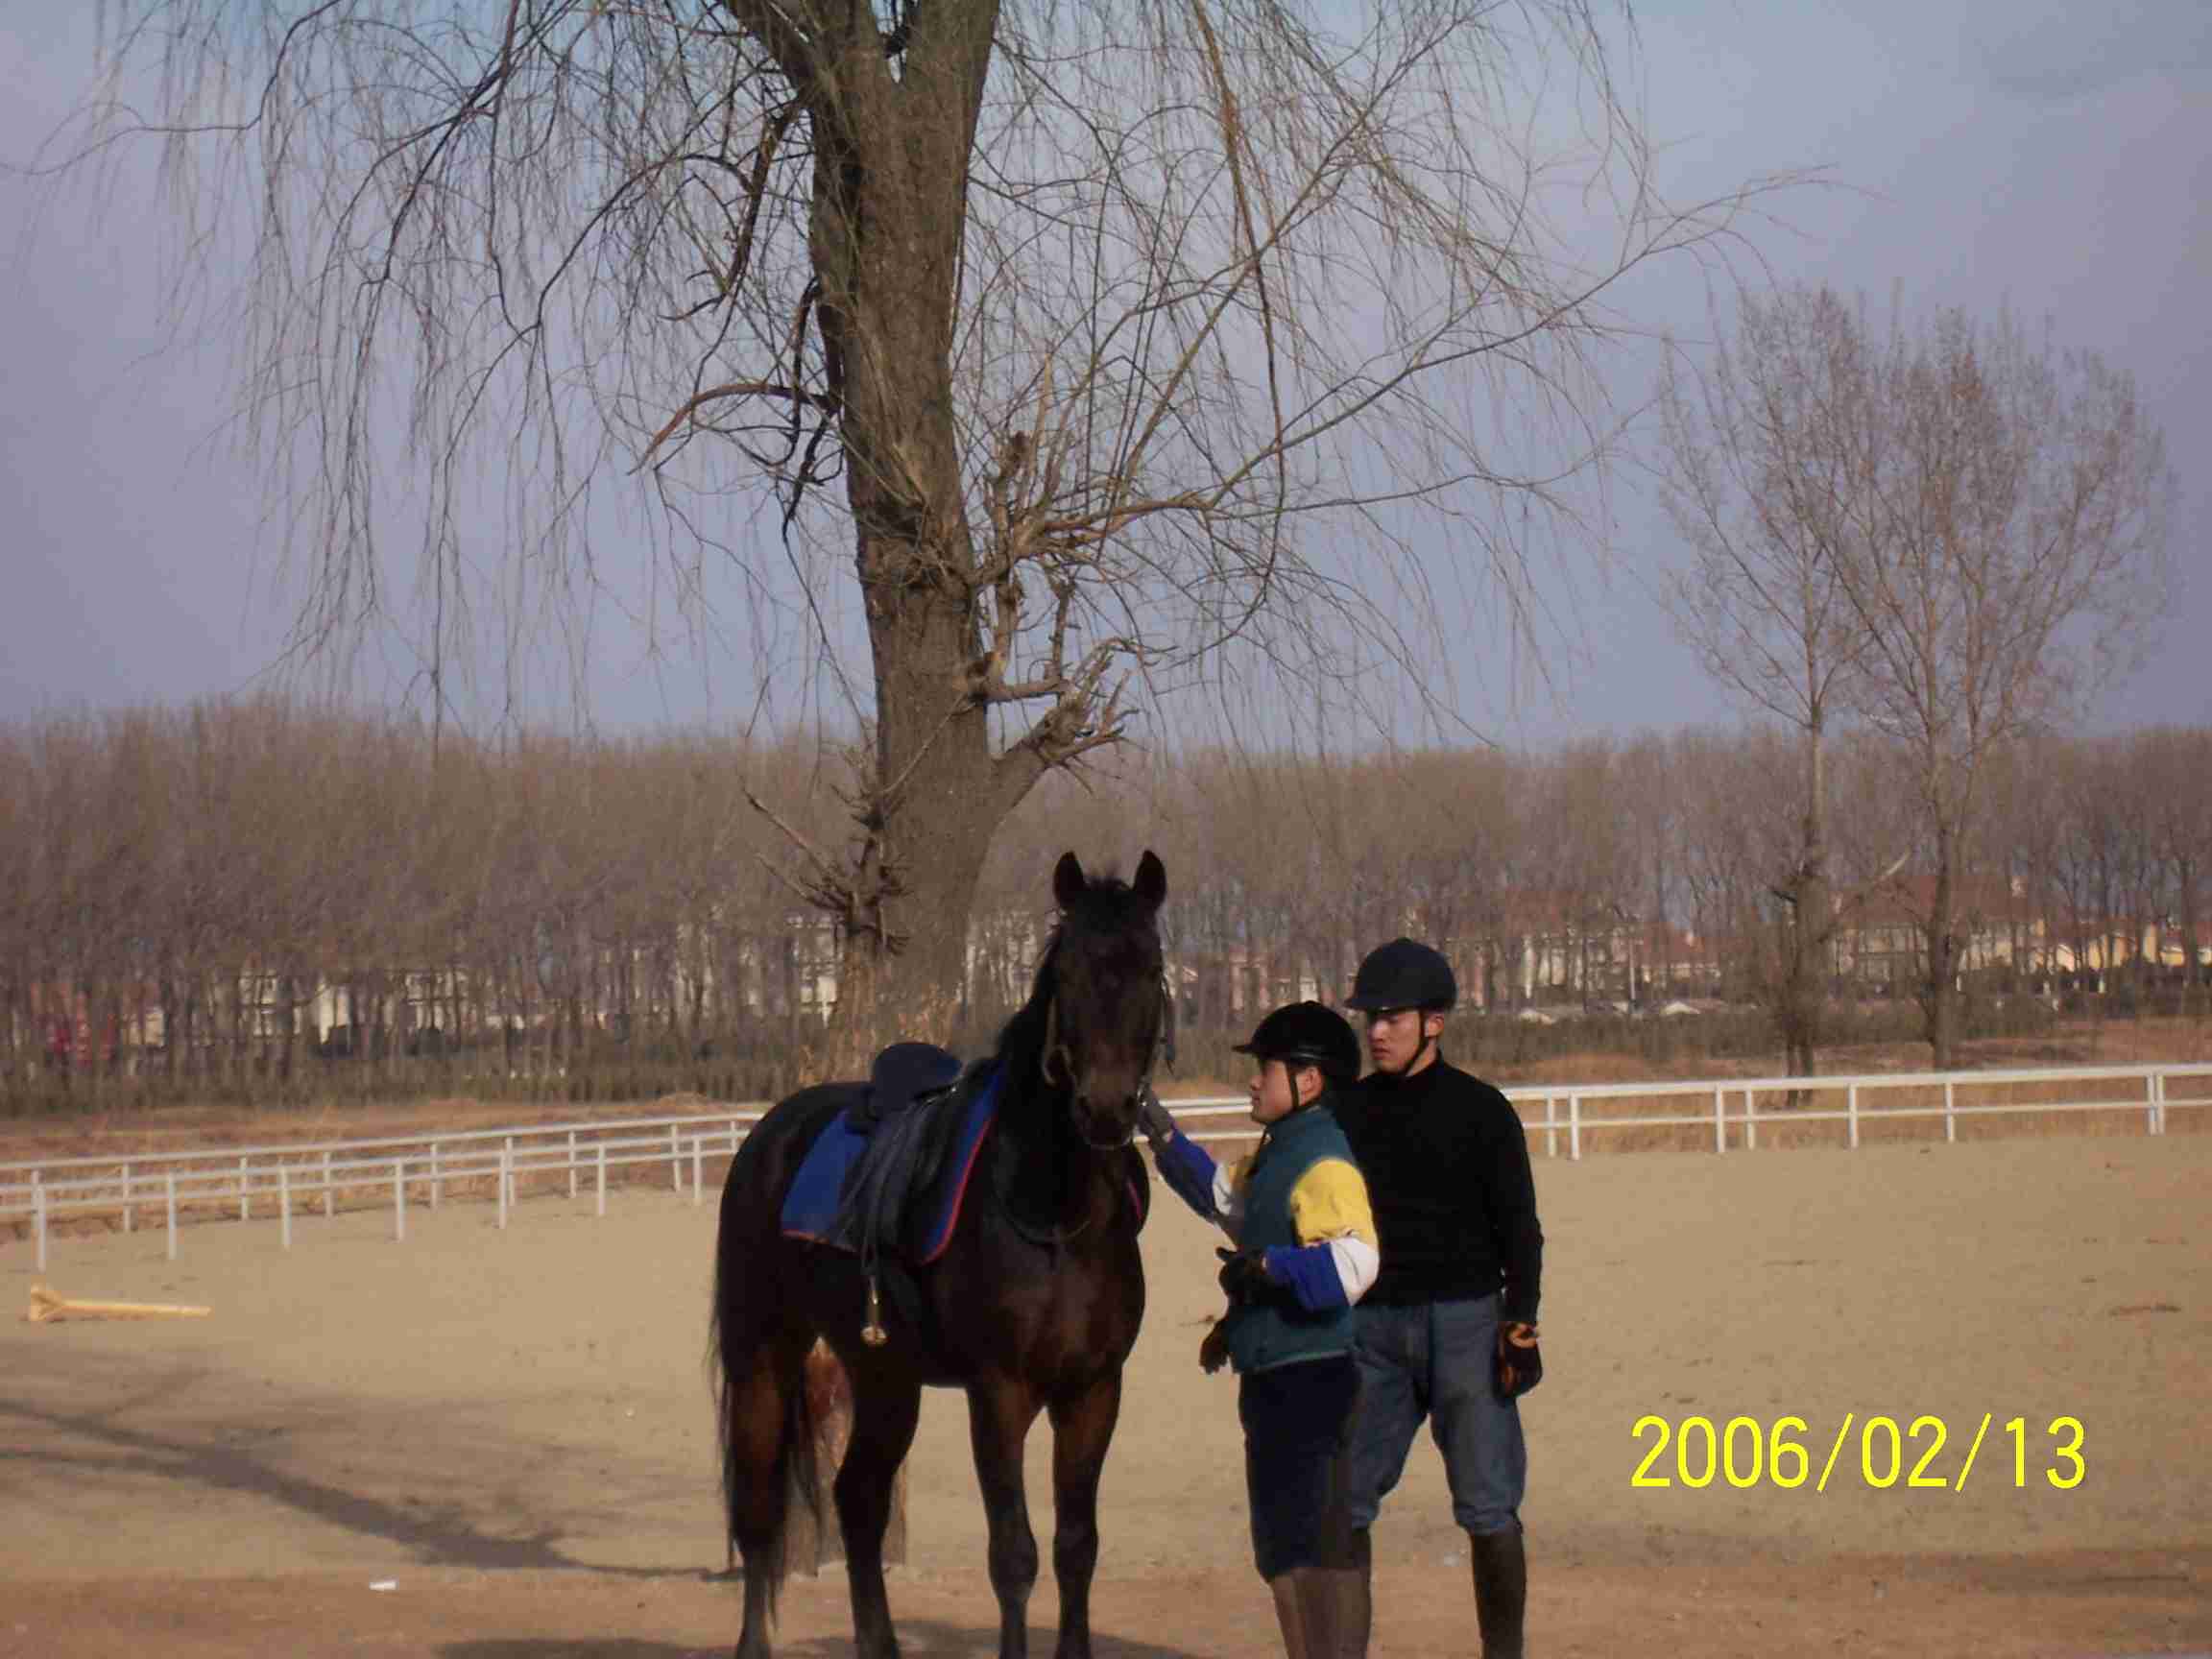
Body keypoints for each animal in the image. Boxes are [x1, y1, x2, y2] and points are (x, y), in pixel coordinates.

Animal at [721, 849, 1176, 1654]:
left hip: (884, 1375)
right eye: (1067, 974)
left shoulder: (1093, 1391)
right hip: (763, 1361)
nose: (1105, 1109)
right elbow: (1015, 1555)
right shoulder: (999, 1393)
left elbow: (1077, 1547)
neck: (1058, 1216)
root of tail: (768, 1135)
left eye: (1151, 967)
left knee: (859, 1499)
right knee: (757, 1518)